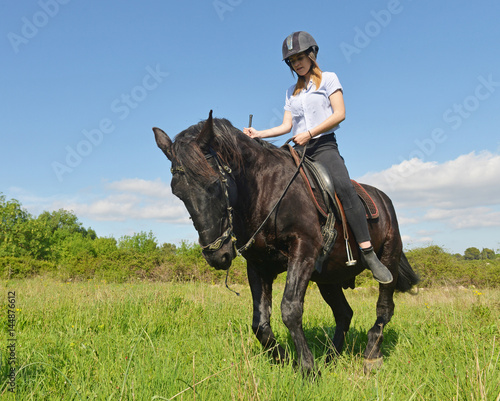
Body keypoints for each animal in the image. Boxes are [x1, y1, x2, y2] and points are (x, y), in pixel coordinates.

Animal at [152, 111, 418, 374]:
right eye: (178, 193)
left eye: (215, 183)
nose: (217, 255)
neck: (265, 191)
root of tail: (384, 199)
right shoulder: (259, 265)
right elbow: (260, 323)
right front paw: (284, 359)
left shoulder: (303, 249)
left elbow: (290, 309)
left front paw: (308, 368)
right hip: (328, 279)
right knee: (344, 313)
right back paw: (331, 358)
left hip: (389, 260)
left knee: (384, 308)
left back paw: (371, 356)